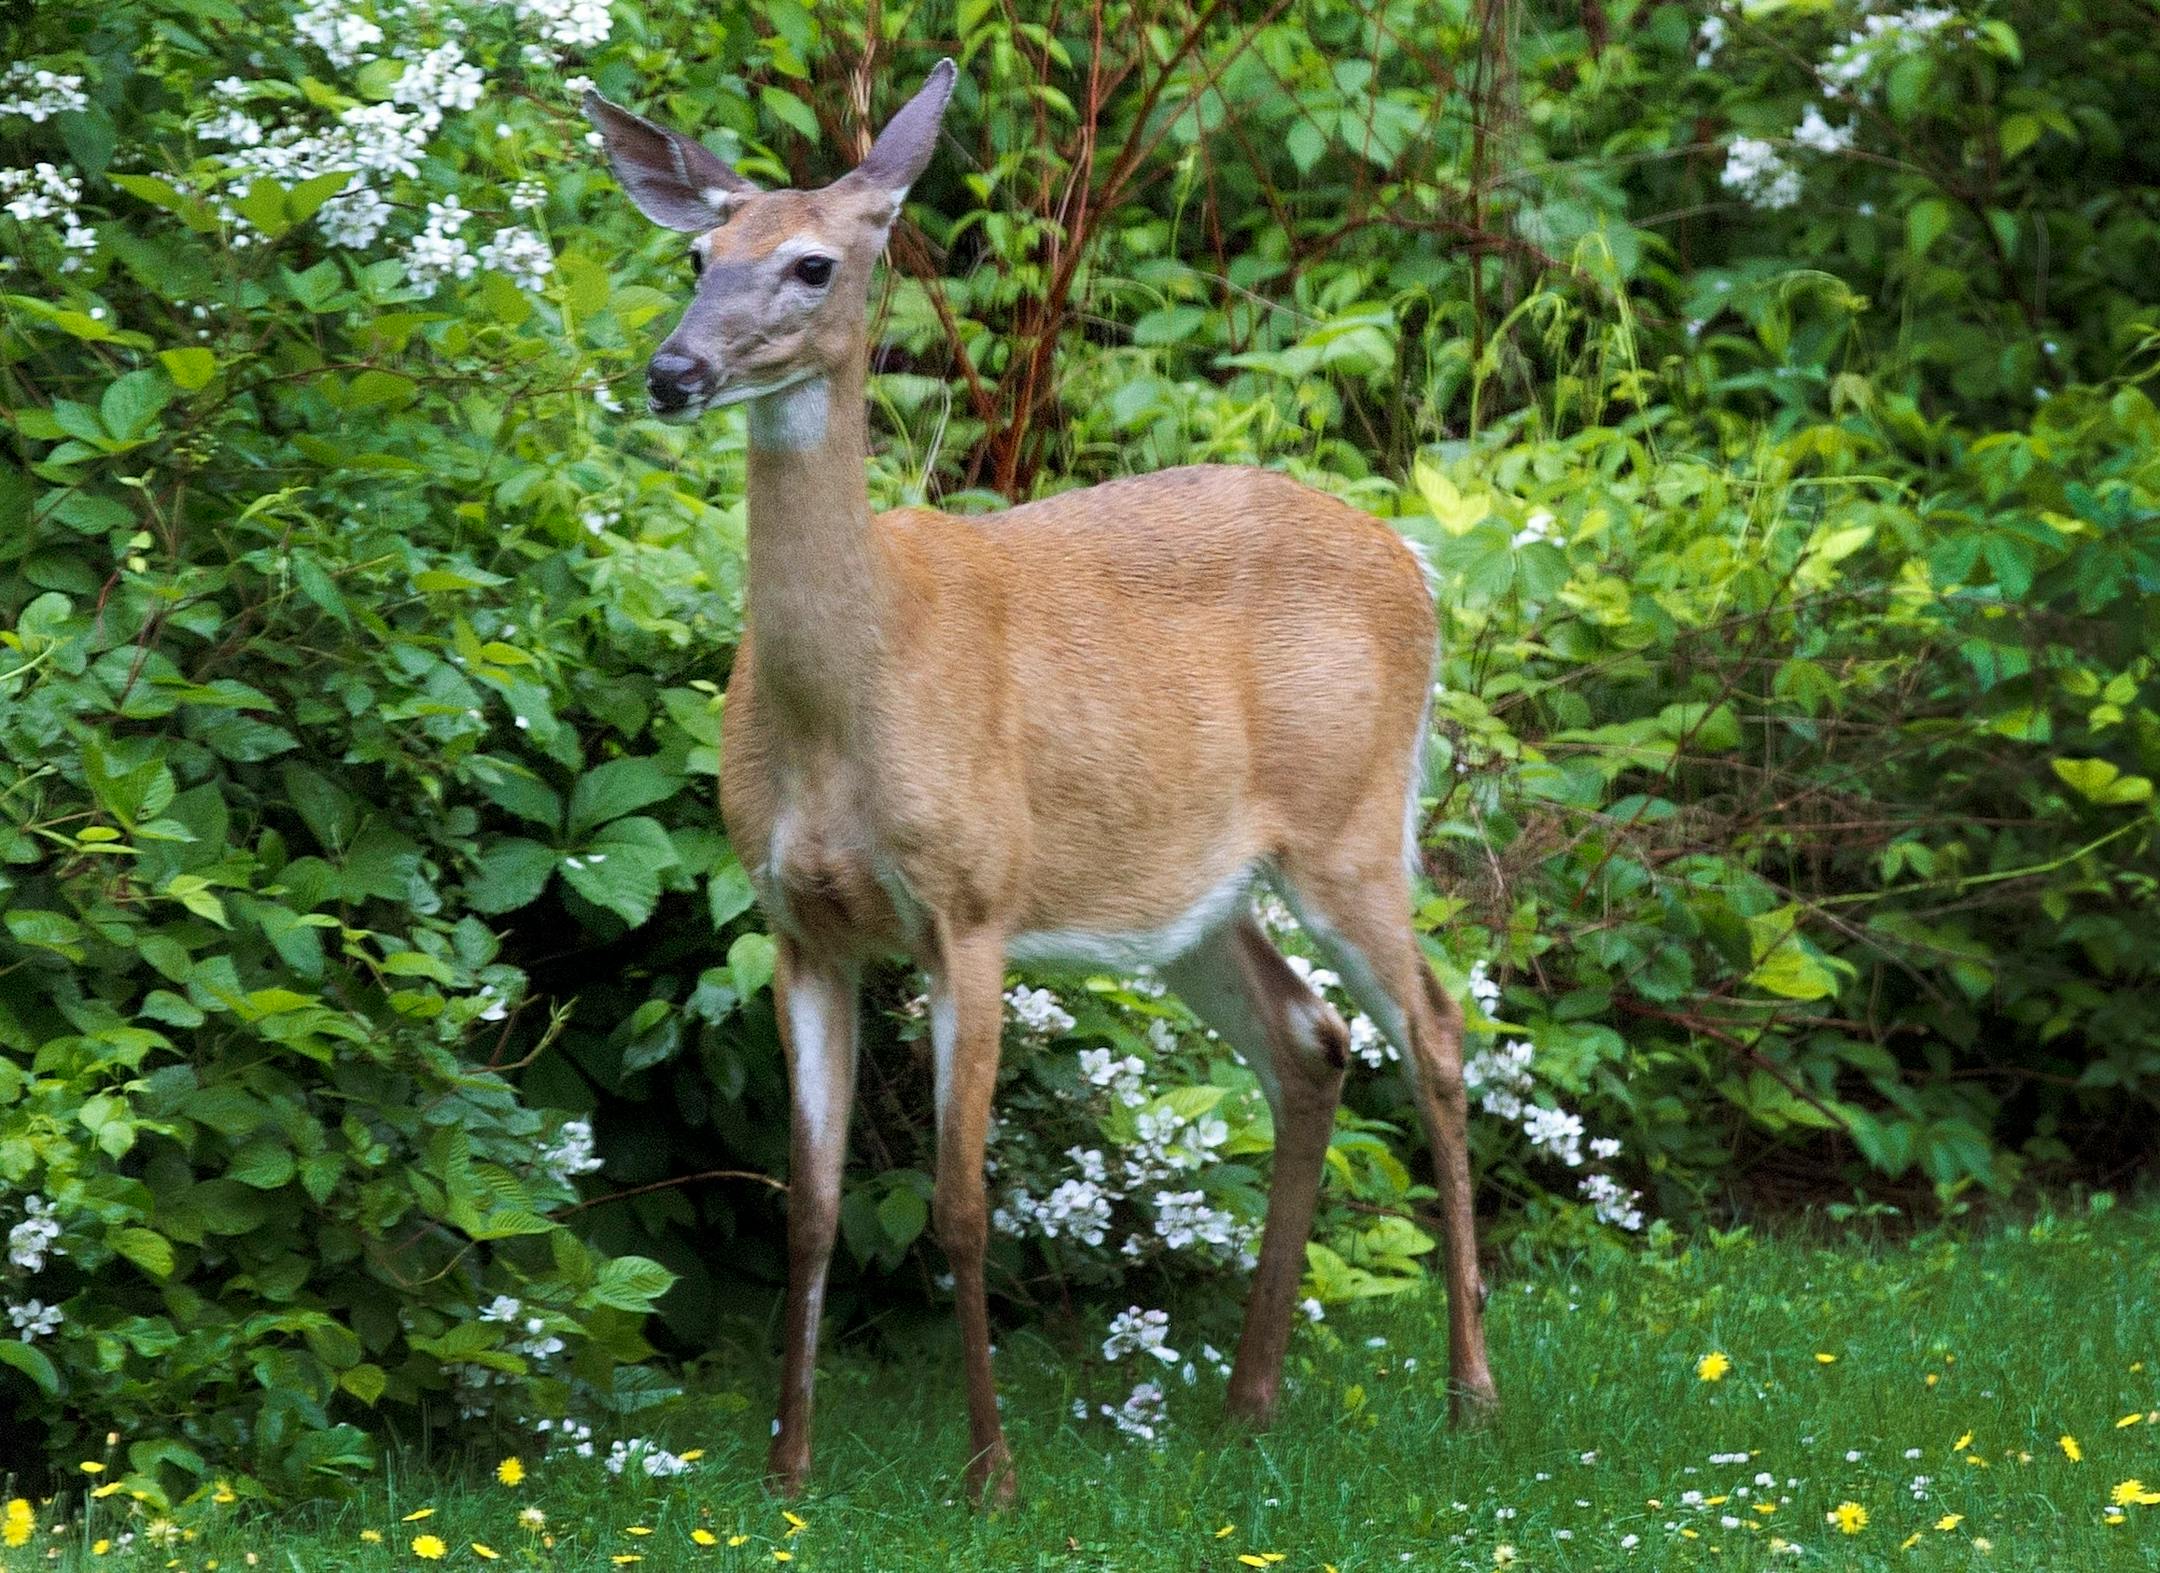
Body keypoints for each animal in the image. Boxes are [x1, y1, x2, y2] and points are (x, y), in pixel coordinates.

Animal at [583, 59, 1496, 1506]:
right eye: (695, 256)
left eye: (811, 264)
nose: (675, 371)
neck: (850, 704)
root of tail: (1414, 559)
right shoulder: (796, 920)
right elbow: (811, 1202)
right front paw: (787, 1469)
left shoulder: (974, 899)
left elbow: (962, 1203)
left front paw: (991, 1476)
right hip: (1192, 894)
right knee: (1311, 1041)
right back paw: (1247, 1404)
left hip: (1352, 825)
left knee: (1440, 1033)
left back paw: (1470, 1395)